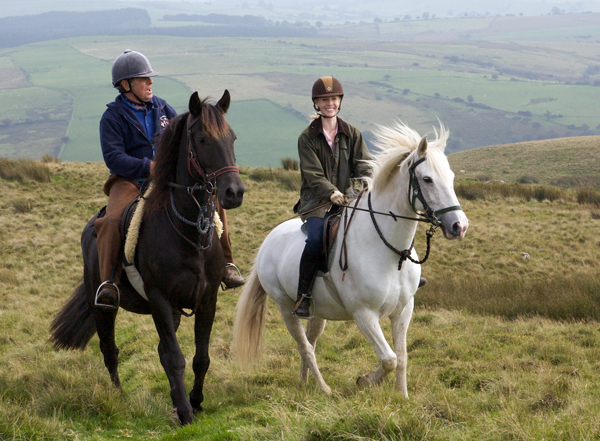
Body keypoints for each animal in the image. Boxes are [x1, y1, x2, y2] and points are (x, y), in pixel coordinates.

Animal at [49, 89, 244, 422]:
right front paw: (186, 414)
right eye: (202, 139)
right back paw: (118, 396)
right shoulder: (160, 300)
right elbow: (176, 358)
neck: (188, 233)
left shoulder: (207, 300)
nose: (234, 192)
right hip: (102, 306)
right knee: (110, 350)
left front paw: (194, 401)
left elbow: (200, 357)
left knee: (160, 351)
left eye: (231, 138)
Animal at [231, 121, 468, 396]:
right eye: (427, 179)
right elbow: (389, 359)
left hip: (317, 313)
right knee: (305, 347)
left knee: (309, 343)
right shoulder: (364, 315)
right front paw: (365, 380)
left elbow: (402, 358)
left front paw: (403, 397)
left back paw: (304, 382)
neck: (390, 255)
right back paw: (324, 388)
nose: (459, 226)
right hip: (285, 308)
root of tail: (267, 242)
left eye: (451, 178)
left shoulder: (403, 310)